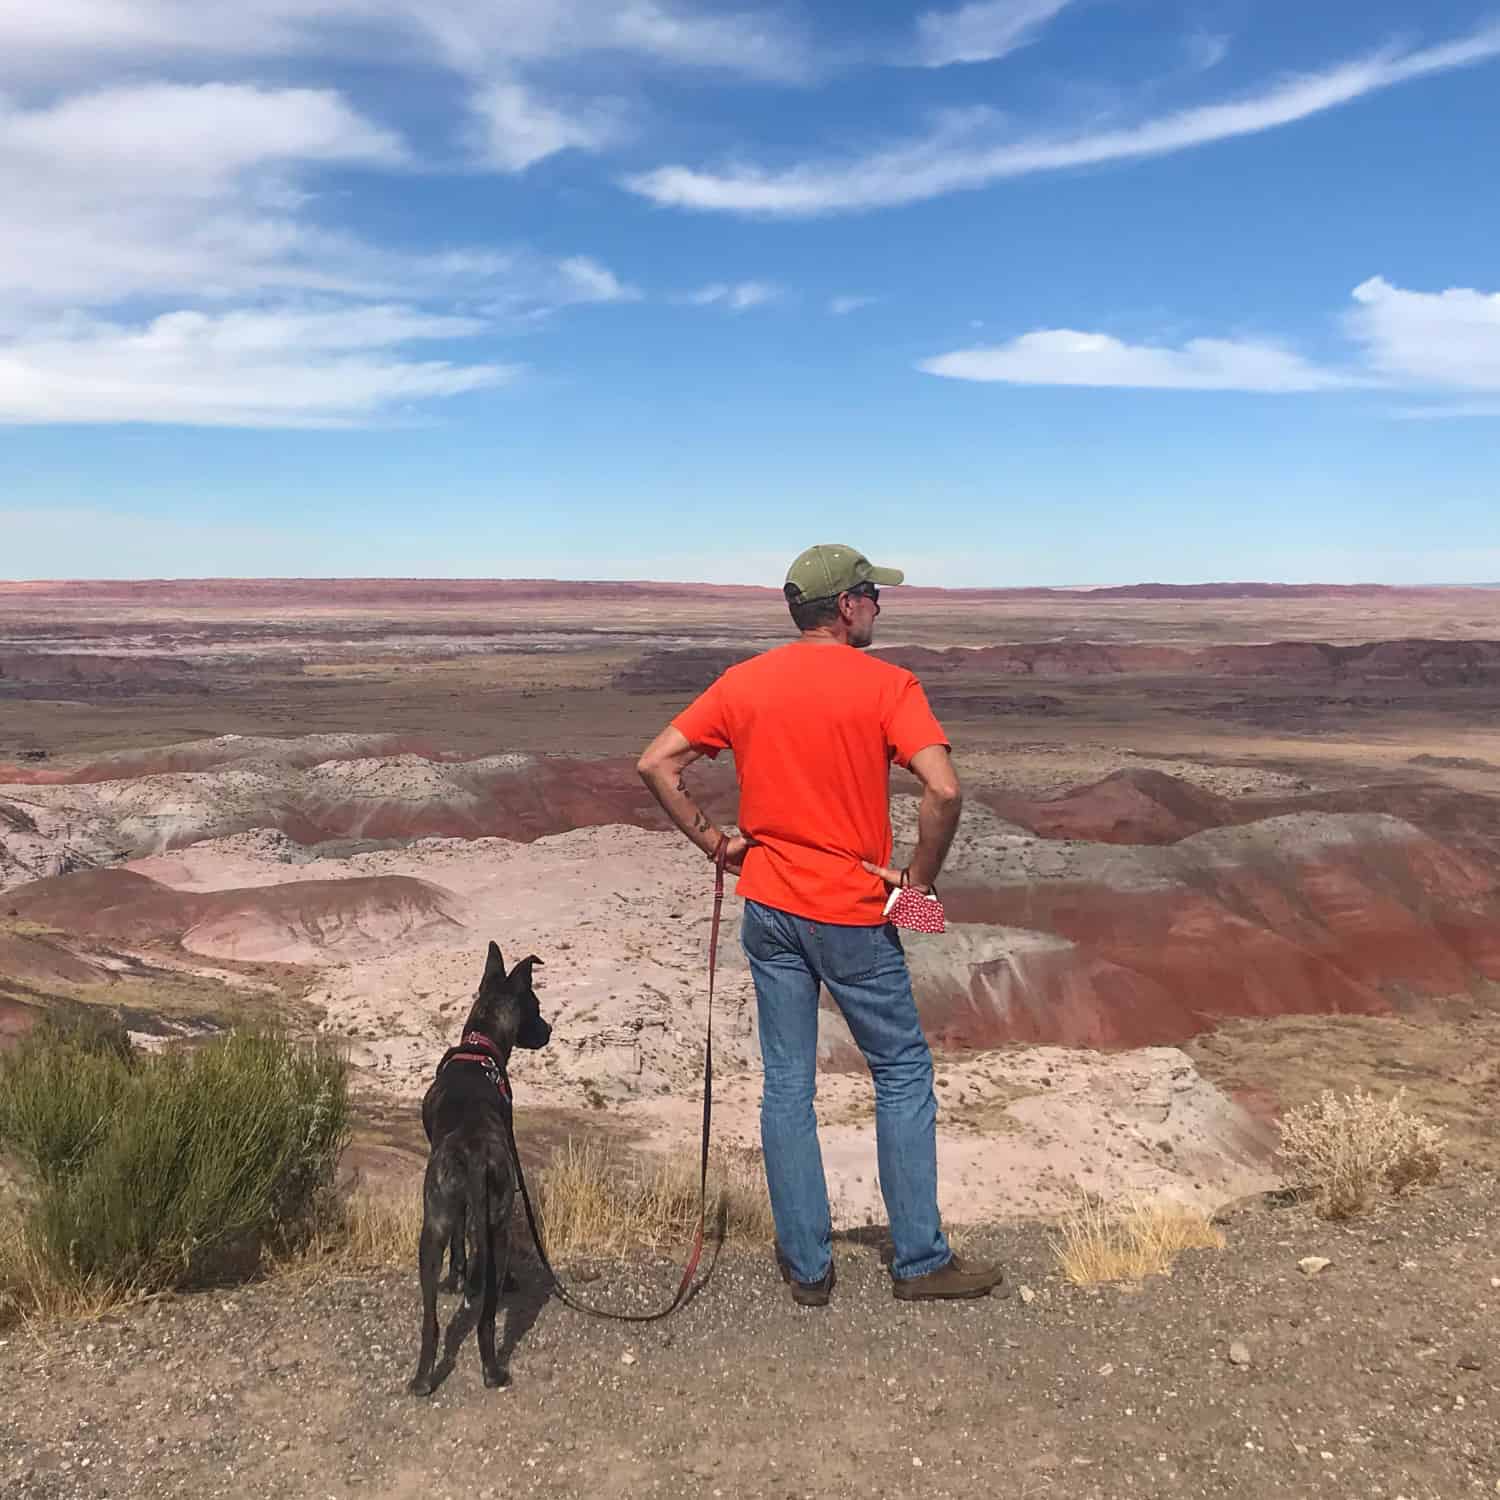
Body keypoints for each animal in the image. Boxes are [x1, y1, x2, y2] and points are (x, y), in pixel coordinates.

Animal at [411, 936, 552, 1392]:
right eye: (536, 1007)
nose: (549, 1031)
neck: (480, 1046)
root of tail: (473, 1153)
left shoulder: (455, 1214)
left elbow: (460, 1241)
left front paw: (457, 1278)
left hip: (435, 1222)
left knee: (434, 1320)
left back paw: (425, 1377)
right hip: (497, 1219)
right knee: (486, 1315)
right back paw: (491, 1367)